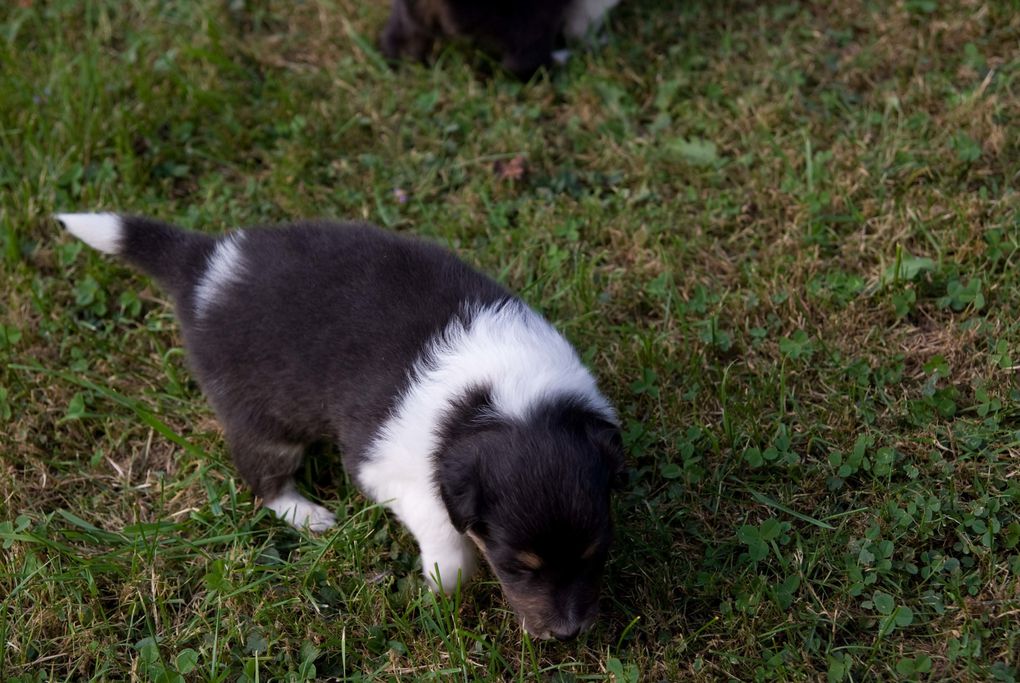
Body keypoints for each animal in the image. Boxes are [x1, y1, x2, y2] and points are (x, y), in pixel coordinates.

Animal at [61, 214, 628, 644]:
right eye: (516, 567)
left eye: (597, 554)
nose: (568, 635)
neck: (501, 400)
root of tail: (206, 264)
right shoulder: (388, 470)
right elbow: (446, 542)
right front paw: (439, 589)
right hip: (261, 415)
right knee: (263, 479)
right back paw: (308, 515)